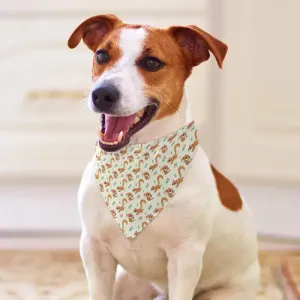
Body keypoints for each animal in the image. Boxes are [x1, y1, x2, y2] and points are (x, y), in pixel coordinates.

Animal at [68, 14, 260, 300]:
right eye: (102, 55)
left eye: (152, 62)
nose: (102, 93)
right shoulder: (94, 249)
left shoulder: (185, 259)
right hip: (127, 282)